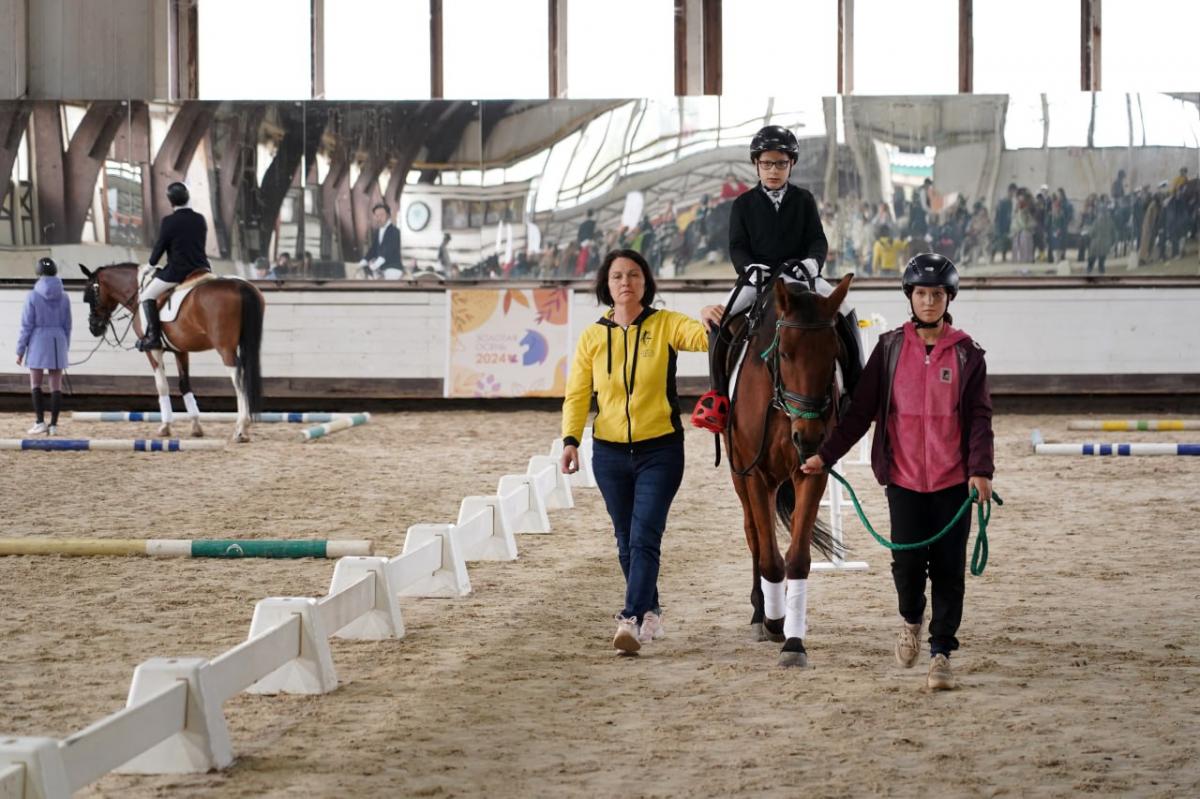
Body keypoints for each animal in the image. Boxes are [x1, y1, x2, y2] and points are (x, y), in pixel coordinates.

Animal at [81, 262, 265, 441]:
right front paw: (196, 426)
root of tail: (241, 286)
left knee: (239, 380)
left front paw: (165, 427)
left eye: (90, 295)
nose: (94, 328)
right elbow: (184, 385)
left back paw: (241, 429)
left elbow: (162, 386)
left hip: (225, 349)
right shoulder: (181, 350)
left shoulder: (153, 349)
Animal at [720, 273, 854, 667]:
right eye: (784, 353)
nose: (808, 436)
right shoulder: (754, 474)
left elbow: (795, 559)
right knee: (753, 534)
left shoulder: (812, 472)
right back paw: (759, 613)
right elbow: (769, 558)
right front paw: (774, 621)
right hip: (740, 475)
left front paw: (794, 641)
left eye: (833, 353)